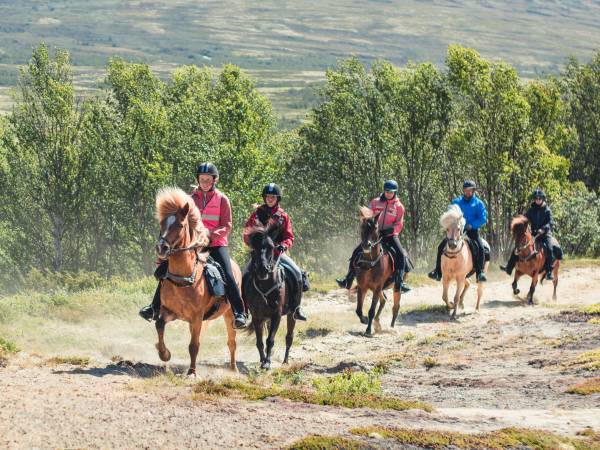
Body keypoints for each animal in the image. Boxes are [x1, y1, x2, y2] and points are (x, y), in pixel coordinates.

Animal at [154, 188, 240, 374]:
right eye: (162, 224)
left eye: (179, 225)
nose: (161, 248)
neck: (183, 280)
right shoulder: (169, 312)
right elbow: (159, 324)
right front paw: (164, 354)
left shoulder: (197, 317)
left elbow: (194, 346)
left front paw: (192, 372)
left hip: (230, 314)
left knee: (232, 342)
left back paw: (233, 369)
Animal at [240, 221, 294, 370]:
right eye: (254, 247)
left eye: (271, 247)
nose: (262, 270)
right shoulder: (257, 316)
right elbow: (259, 341)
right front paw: (263, 360)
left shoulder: (277, 315)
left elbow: (270, 339)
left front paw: (267, 362)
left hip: (291, 314)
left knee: (289, 337)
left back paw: (285, 361)